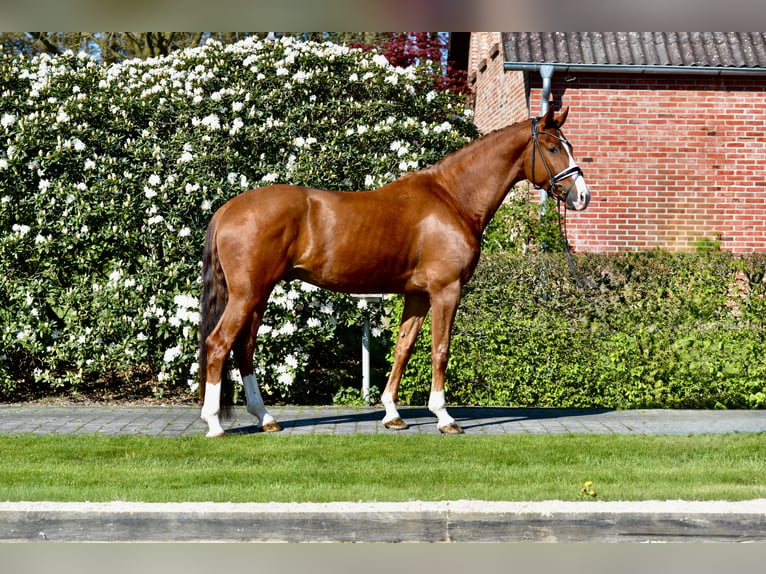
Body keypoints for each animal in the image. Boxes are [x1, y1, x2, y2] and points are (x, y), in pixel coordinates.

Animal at [197, 106, 591, 437]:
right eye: (553, 148)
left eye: (569, 145)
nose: (582, 196)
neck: (453, 198)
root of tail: (227, 209)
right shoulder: (446, 290)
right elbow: (440, 349)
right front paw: (444, 417)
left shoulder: (417, 294)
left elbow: (403, 347)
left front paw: (392, 413)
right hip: (248, 294)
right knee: (219, 344)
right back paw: (214, 423)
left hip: (259, 294)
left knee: (244, 348)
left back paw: (265, 418)